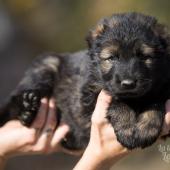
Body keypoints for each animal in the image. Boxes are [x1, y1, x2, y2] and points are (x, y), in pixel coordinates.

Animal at [0, 12, 170, 150]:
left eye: (144, 57)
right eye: (112, 58)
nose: (128, 83)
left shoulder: (162, 88)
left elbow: (154, 104)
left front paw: (146, 129)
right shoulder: (89, 94)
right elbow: (118, 102)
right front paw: (127, 128)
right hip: (47, 64)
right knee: (13, 101)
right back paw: (27, 108)